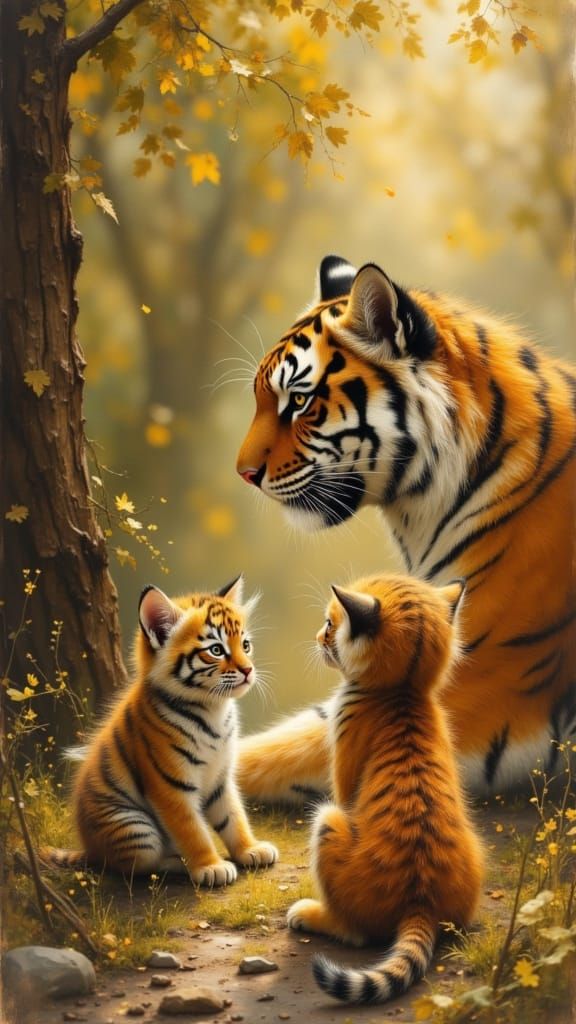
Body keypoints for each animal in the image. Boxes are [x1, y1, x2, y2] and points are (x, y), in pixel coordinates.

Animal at [41, 576, 278, 885]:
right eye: (216, 650)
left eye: (246, 645)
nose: (249, 670)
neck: (213, 708)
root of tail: (90, 849)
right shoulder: (171, 785)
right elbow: (193, 830)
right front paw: (211, 867)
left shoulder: (221, 777)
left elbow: (233, 816)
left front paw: (251, 849)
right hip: (135, 828)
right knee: (137, 865)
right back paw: (179, 863)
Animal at [287, 573, 484, 1004]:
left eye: (331, 624)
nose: (317, 636)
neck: (402, 690)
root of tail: (421, 902)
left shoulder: (343, 780)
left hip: (328, 822)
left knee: (356, 933)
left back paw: (310, 914)